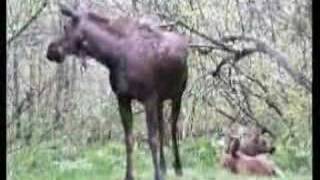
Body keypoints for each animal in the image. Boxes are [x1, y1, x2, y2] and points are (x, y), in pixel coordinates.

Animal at [46, 3, 189, 180]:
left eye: (66, 27)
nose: (50, 50)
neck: (111, 56)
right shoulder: (123, 98)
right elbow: (129, 139)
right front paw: (129, 175)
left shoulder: (148, 98)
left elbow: (152, 139)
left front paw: (156, 175)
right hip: (161, 100)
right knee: (163, 129)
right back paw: (163, 166)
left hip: (178, 94)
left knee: (173, 128)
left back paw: (178, 167)